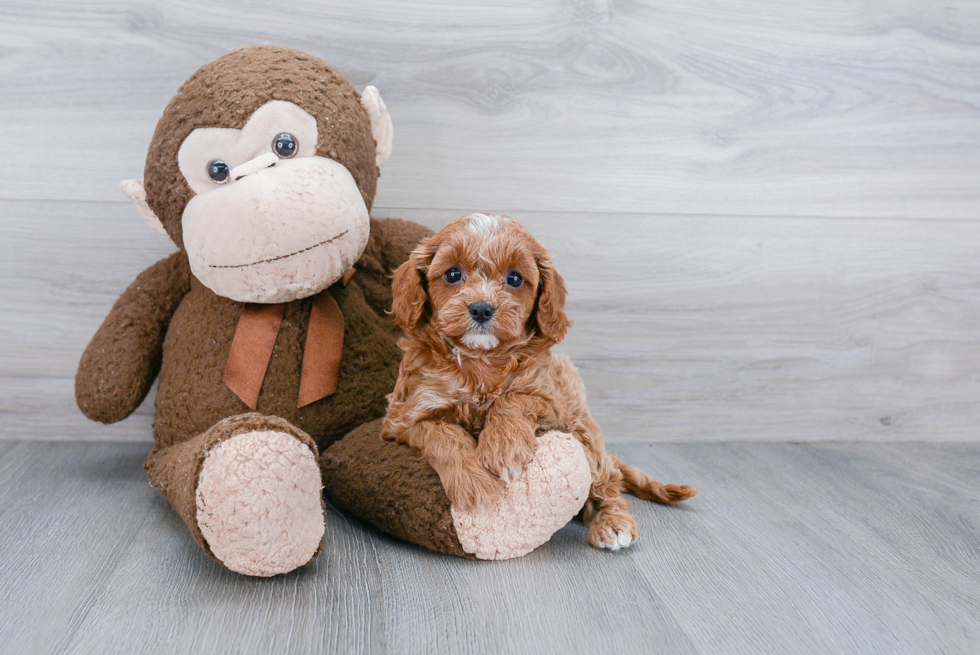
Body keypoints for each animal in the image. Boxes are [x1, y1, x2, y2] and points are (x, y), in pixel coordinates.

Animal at [378, 214, 692, 548]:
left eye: (515, 279)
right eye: (452, 274)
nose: (481, 308)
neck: (481, 362)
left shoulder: (552, 400)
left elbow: (513, 398)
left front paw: (503, 449)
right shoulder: (404, 418)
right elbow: (443, 434)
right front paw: (473, 483)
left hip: (584, 429)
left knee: (607, 483)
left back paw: (613, 522)